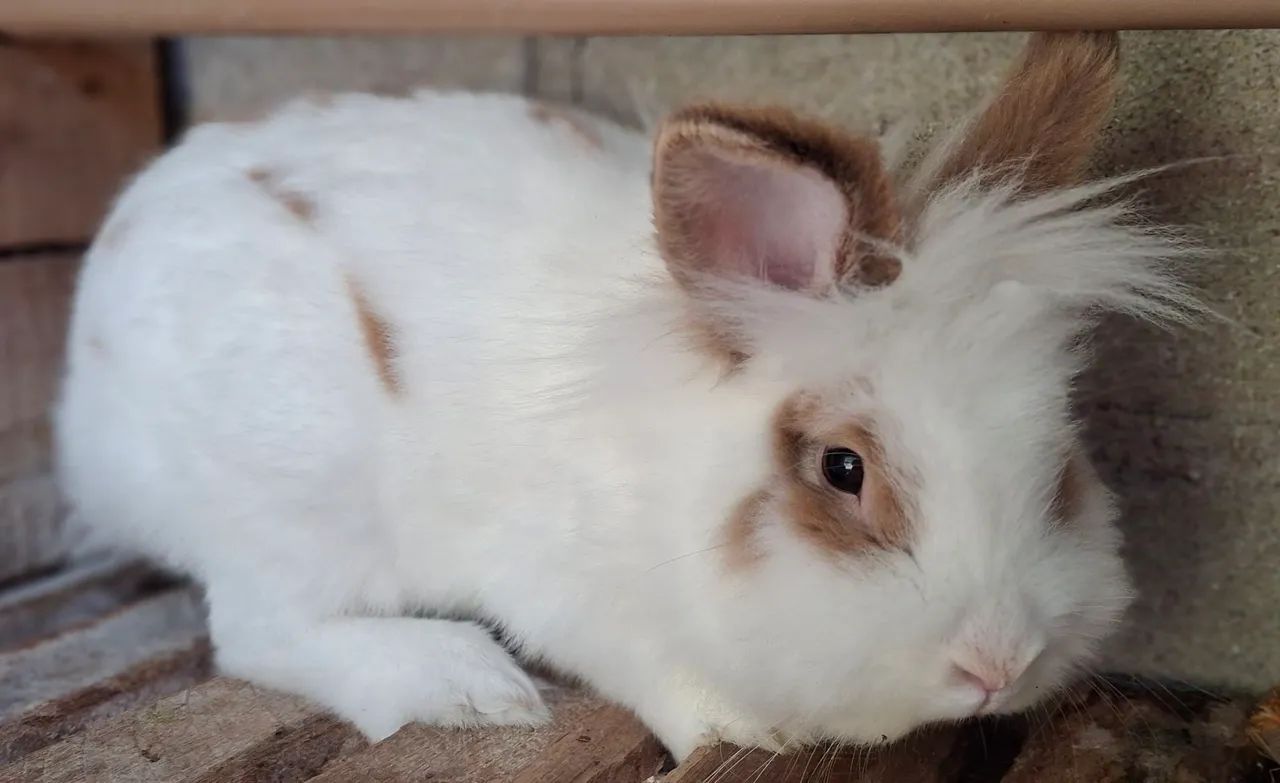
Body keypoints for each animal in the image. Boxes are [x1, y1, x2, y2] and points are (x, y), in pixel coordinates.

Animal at [55, 31, 1196, 761]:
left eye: (1057, 460)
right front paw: (743, 728)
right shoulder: (573, 588)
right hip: (296, 497)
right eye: (842, 468)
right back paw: (466, 685)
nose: (999, 662)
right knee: (258, 629)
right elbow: (654, 668)